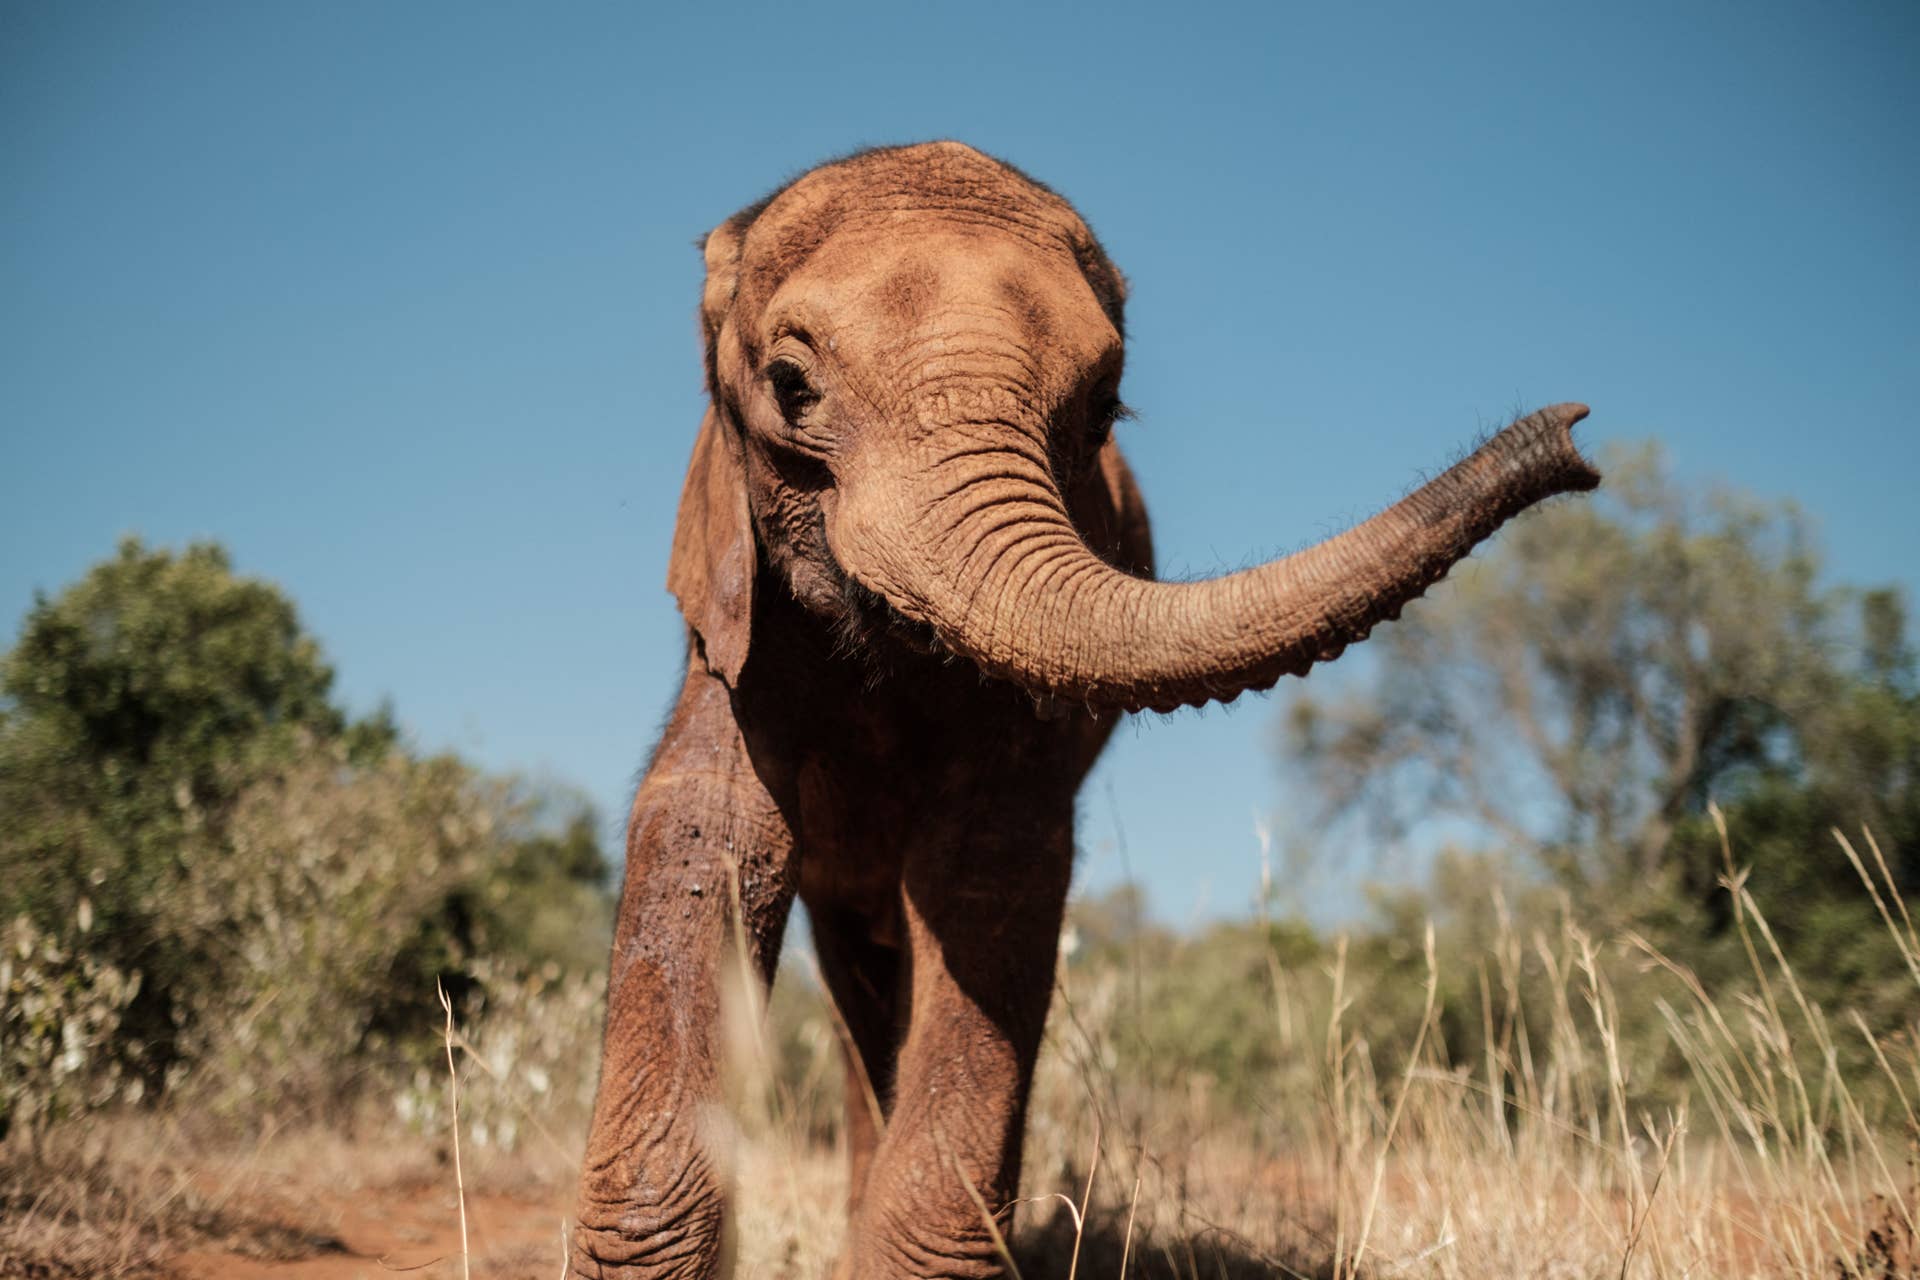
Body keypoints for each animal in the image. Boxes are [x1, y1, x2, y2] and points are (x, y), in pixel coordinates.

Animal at [571, 141, 1598, 1278]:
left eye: (1105, 409)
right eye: (789, 387)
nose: (1575, 439)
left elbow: (989, 869)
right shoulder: (737, 602)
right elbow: (707, 826)